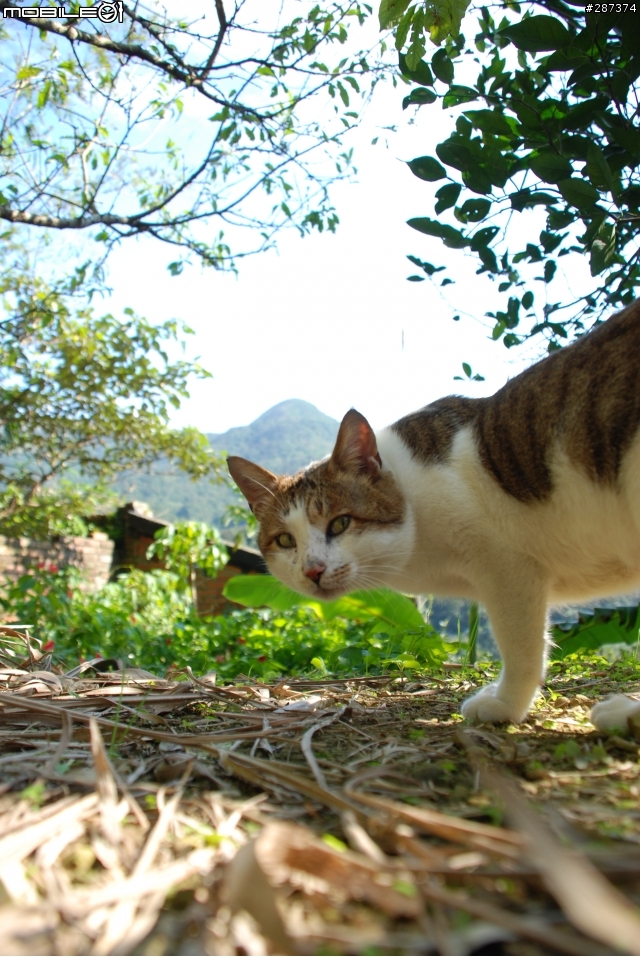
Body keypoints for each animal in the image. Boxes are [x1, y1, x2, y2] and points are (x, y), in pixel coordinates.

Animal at [228, 299, 640, 729]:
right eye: (285, 540)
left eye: (340, 523)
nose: (312, 571)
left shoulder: (510, 569)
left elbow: (521, 647)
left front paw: (506, 705)